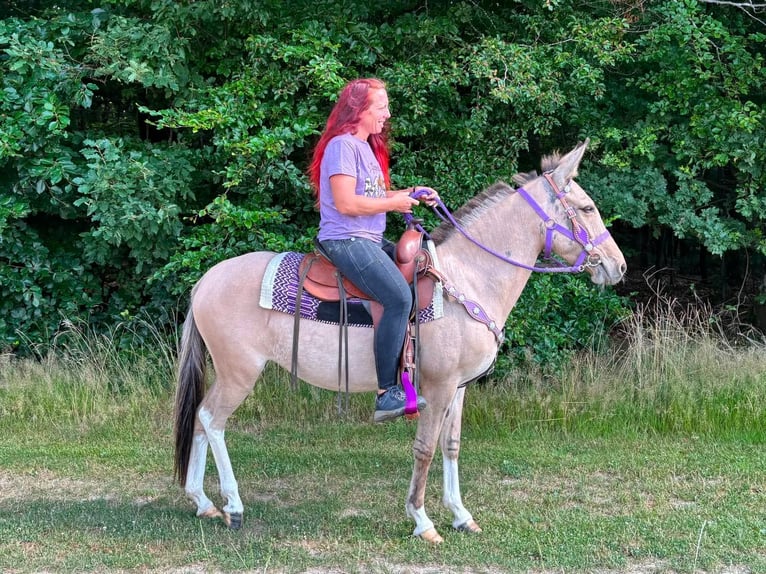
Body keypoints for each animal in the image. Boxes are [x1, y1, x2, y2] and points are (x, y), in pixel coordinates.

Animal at [173, 139, 627, 543]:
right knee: (213, 419)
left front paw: (461, 516)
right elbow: (424, 448)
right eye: (587, 208)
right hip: (240, 372)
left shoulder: (458, 388)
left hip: (228, 372)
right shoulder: (437, 387)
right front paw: (423, 521)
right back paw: (232, 505)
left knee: (200, 416)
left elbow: (451, 446)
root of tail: (207, 281)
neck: (469, 278)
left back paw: (202, 502)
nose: (619, 266)